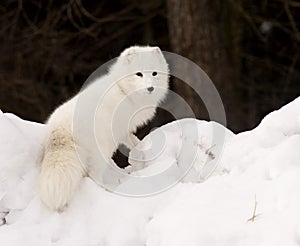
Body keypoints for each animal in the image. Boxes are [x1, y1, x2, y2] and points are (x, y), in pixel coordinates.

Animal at [37, 45, 169, 210]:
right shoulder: (120, 126)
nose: (150, 88)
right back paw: (107, 190)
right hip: (101, 149)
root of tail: (59, 126)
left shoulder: (123, 129)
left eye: (154, 73)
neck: (123, 90)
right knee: (93, 173)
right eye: (139, 74)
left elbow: (133, 140)